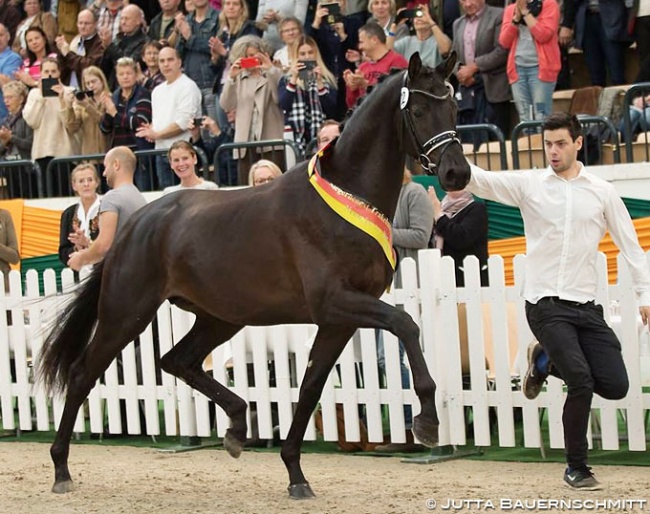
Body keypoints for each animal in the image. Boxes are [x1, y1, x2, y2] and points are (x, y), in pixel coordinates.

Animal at [38, 52, 468, 496]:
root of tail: (134, 224)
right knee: (83, 373)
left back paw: (236, 425)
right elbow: (406, 324)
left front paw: (295, 473)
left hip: (219, 319)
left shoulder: (339, 320)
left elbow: (311, 386)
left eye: (453, 108)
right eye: (419, 110)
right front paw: (428, 421)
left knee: (177, 360)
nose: (457, 174)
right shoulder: (336, 303)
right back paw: (61, 469)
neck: (345, 200)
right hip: (126, 313)